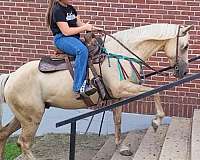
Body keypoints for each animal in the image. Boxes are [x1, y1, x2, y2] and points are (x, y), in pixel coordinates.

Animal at [0, 23, 191, 159]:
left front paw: (121, 147)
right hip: (32, 118)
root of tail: (11, 76)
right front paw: (156, 122)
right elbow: (154, 92)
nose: (184, 72)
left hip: (24, 116)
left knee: (4, 134)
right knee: (24, 143)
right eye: (185, 46)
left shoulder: (117, 97)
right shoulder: (122, 88)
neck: (120, 54)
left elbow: (118, 120)